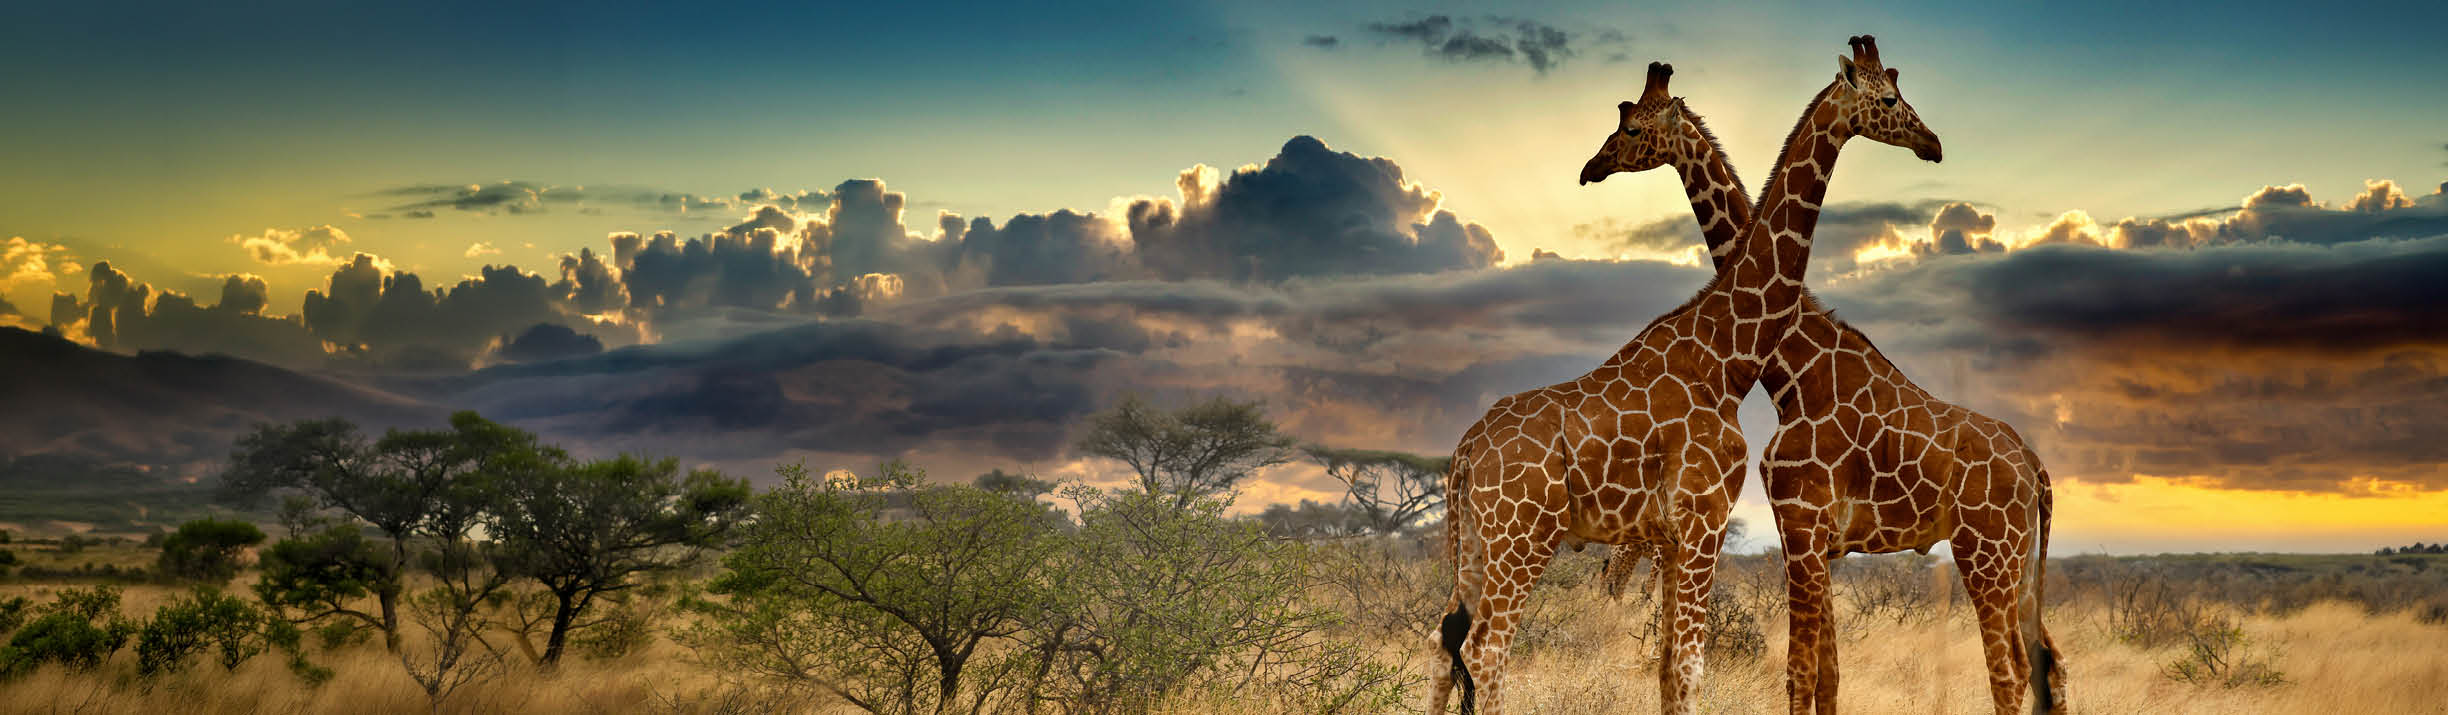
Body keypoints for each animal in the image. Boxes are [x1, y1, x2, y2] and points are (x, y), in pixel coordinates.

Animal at [1429, 38, 1943, 715]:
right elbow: (1694, 666)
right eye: (1887, 99)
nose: (1932, 143)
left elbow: (1670, 668)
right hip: (1523, 538)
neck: (1726, 358)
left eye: (1629, 124)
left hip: (1473, 542)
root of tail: (1465, 451)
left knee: (1442, 645)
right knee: (1488, 652)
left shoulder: (1674, 537)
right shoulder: (1707, 518)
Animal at [1579, 40, 2067, 715]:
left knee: (2011, 671)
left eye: (1628, 128)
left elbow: (1800, 671)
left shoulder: (1802, 525)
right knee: (2051, 663)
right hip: (2018, 562)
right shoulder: (1815, 540)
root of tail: (2036, 469)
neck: (1794, 372)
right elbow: (1828, 674)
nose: (1590, 167)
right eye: (1891, 96)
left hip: (1986, 551)